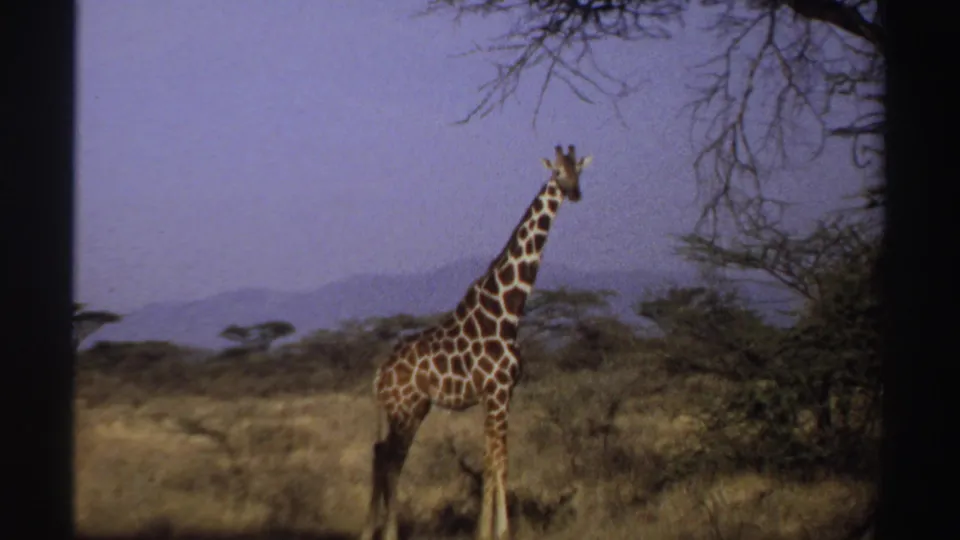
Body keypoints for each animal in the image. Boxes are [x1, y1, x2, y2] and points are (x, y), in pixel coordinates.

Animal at [360, 144, 593, 540]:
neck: (508, 311)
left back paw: (374, 531)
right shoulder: (496, 392)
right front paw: (499, 532)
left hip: (411, 410)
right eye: (557, 173)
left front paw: (487, 529)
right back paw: (386, 532)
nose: (574, 193)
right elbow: (500, 461)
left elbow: (490, 459)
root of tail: (380, 376)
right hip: (404, 410)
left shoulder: (501, 394)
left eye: (578, 170)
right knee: (388, 460)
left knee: (384, 456)